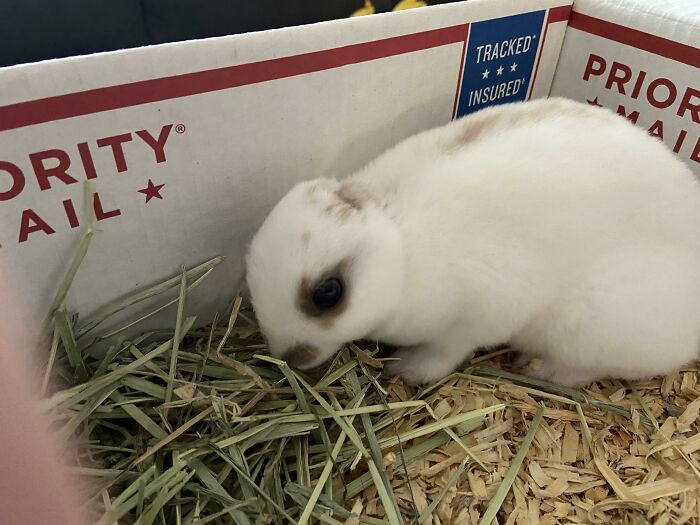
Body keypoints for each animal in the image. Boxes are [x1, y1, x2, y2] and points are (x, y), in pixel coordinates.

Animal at [245, 96, 700, 386]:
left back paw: (544, 370)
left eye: (328, 293)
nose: (290, 357)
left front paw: (405, 369)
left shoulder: (476, 317)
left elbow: (445, 354)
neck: (400, 253)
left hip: (596, 322)